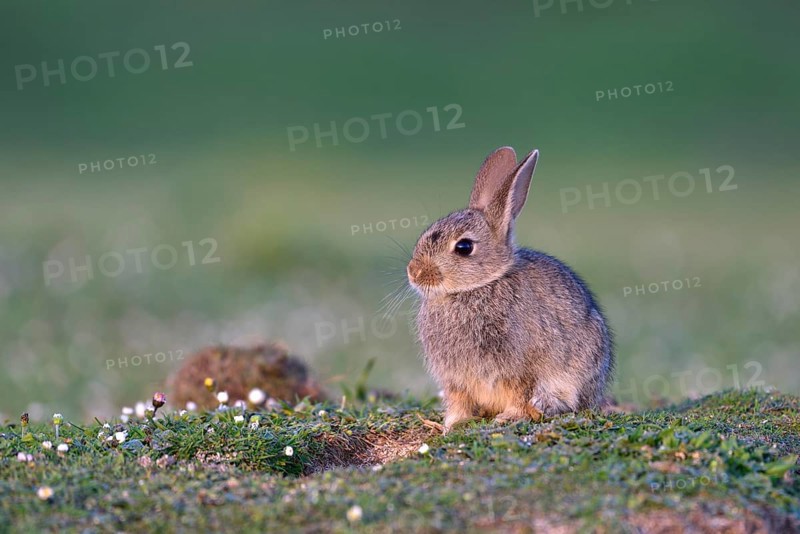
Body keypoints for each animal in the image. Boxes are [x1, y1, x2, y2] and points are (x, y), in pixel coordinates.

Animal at [407, 146, 613, 433]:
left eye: (464, 247)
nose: (413, 272)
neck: (480, 286)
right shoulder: (456, 380)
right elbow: (459, 401)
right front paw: (454, 424)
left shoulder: (519, 369)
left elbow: (519, 393)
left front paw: (510, 417)